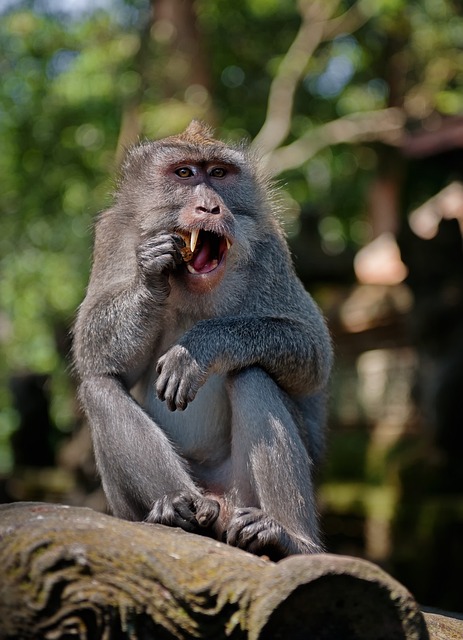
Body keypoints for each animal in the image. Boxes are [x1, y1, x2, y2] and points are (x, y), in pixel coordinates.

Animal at [73, 121, 333, 561]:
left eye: (218, 174)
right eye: (184, 173)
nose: (211, 208)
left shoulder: (270, 250)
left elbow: (314, 355)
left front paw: (200, 348)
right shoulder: (112, 237)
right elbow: (95, 354)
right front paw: (151, 275)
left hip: (240, 492)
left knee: (251, 375)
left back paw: (288, 540)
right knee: (98, 387)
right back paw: (179, 508)